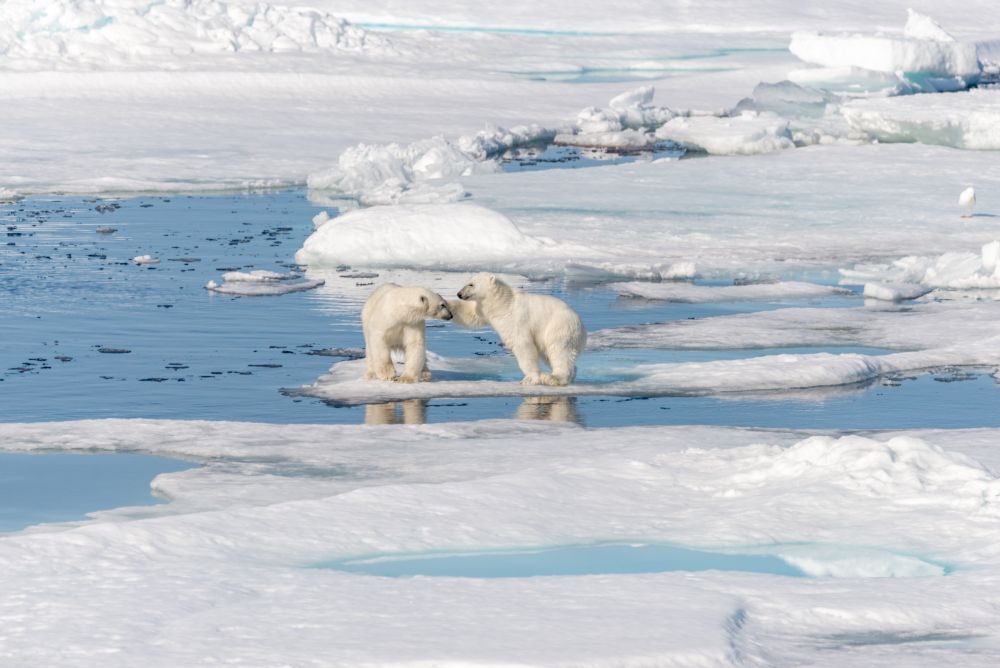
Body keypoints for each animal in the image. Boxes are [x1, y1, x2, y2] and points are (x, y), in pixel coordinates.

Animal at [454, 272, 584, 386]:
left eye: (471, 284)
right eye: (469, 282)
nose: (459, 294)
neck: (503, 302)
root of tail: (583, 330)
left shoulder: (516, 318)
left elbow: (522, 344)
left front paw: (529, 379)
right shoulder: (487, 310)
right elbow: (471, 315)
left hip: (559, 327)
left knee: (558, 351)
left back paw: (554, 378)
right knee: (549, 354)